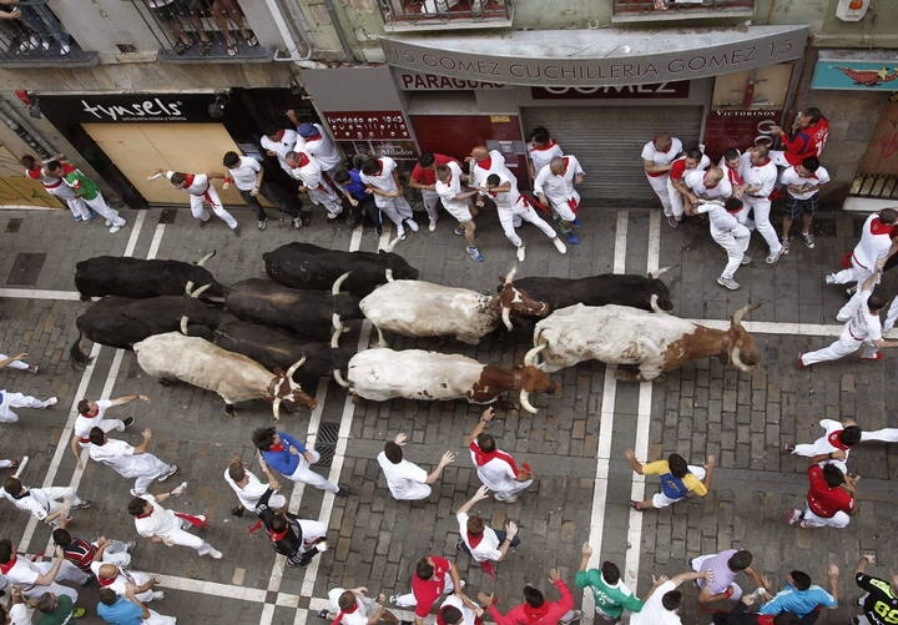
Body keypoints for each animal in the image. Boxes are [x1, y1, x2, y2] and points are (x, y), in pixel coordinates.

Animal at [133, 332, 316, 420]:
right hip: (156, 372)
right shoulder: (228, 396)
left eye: (298, 386)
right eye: (291, 397)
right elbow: (229, 406)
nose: (313, 404)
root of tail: (142, 344)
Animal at [528, 300, 760, 378]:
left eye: (751, 338)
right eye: (745, 349)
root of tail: (547, 325)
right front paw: (621, 375)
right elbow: (637, 377)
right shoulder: (651, 369)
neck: (689, 340)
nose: (758, 358)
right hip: (557, 363)